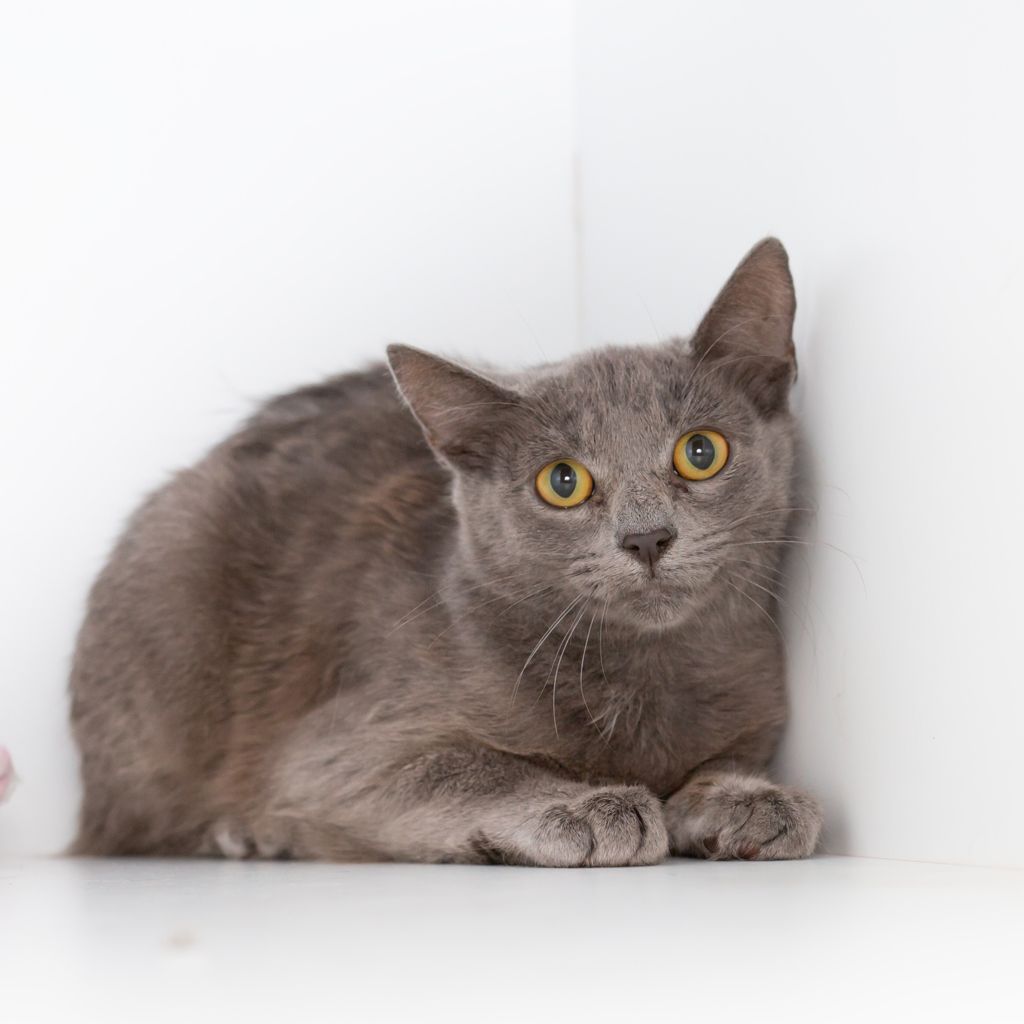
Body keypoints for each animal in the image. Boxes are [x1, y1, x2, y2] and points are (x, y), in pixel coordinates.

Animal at [69, 238, 822, 865]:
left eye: (701, 451)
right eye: (563, 482)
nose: (646, 537)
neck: (647, 676)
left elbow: (721, 762)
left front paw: (749, 798)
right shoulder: (332, 754)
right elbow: (475, 766)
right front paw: (588, 804)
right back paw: (241, 836)